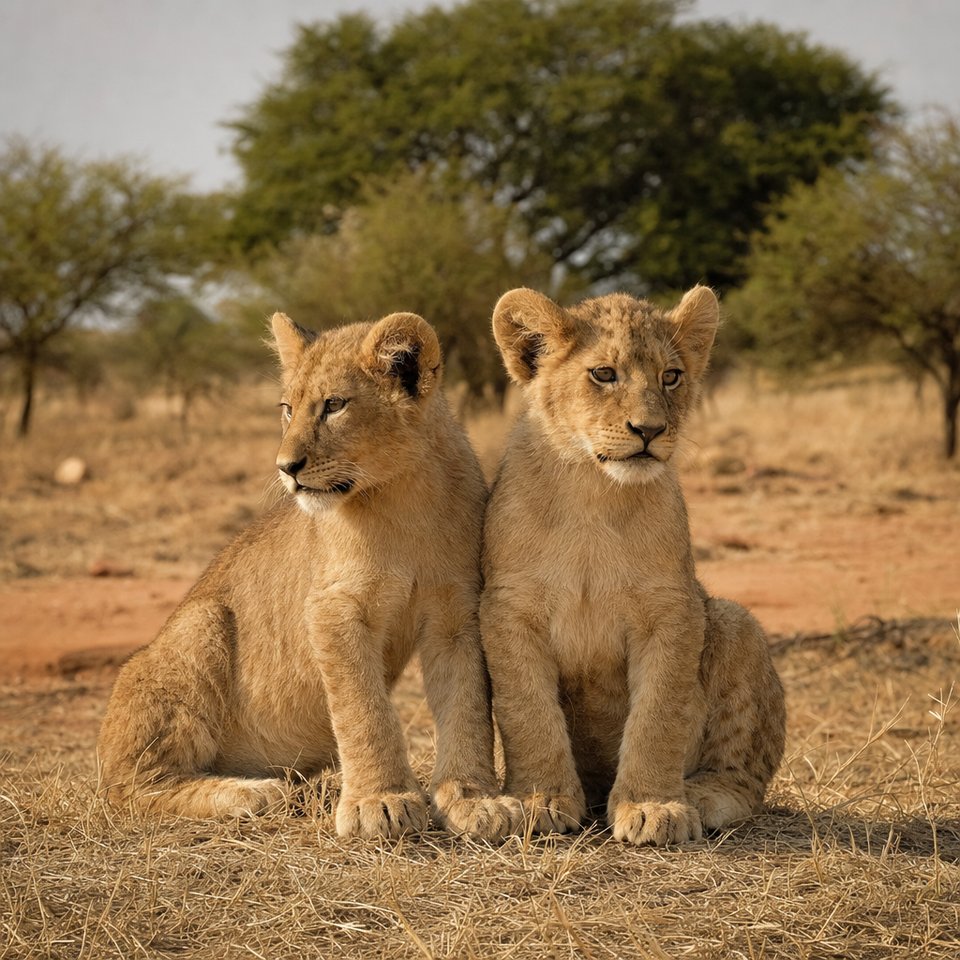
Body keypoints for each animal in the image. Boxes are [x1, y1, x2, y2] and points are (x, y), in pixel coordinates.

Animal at [98, 311, 522, 840]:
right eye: (287, 408)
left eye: (334, 406)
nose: (286, 467)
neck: (402, 496)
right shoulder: (332, 608)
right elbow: (363, 709)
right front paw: (379, 802)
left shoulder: (456, 613)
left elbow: (467, 706)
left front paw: (473, 801)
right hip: (202, 622)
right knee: (133, 787)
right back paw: (251, 793)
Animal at [480, 285, 786, 846]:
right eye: (604, 373)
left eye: (671, 376)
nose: (650, 429)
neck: (594, 494)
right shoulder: (507, 609)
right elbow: (527, 711)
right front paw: (540, 799)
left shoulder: (673, 611)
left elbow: (658, 715)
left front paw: (652, 807)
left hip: (735, 621)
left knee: (746, 774)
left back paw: (703, 797)